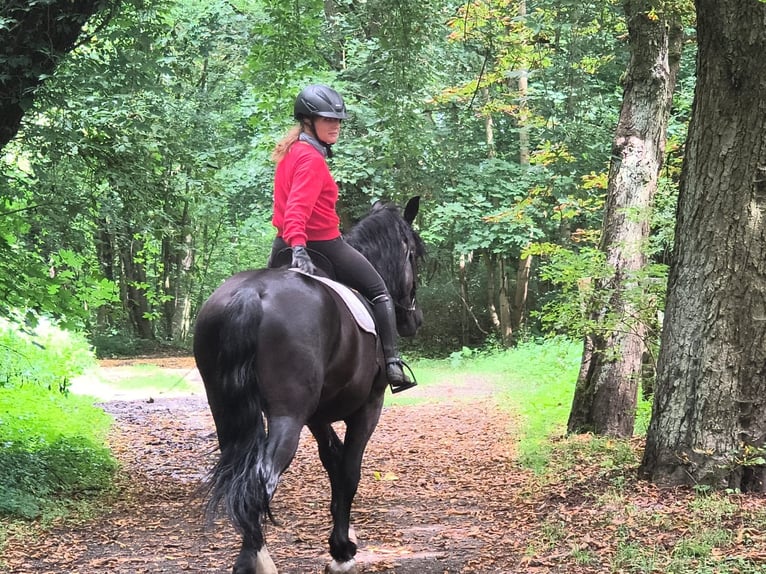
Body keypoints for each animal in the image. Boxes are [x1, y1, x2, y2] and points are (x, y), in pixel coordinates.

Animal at [193, 197, 425, 574]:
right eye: (414, 254)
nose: (414, 319)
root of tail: (250, 293)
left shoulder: (317, 417)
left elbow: (333, 461)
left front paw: (343, 540)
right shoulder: (368, 407)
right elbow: (349, 470)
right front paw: (342, 551)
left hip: (226, 412)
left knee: (240, 477)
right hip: (288, 416)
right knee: (261, 480)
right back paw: (256, 561)